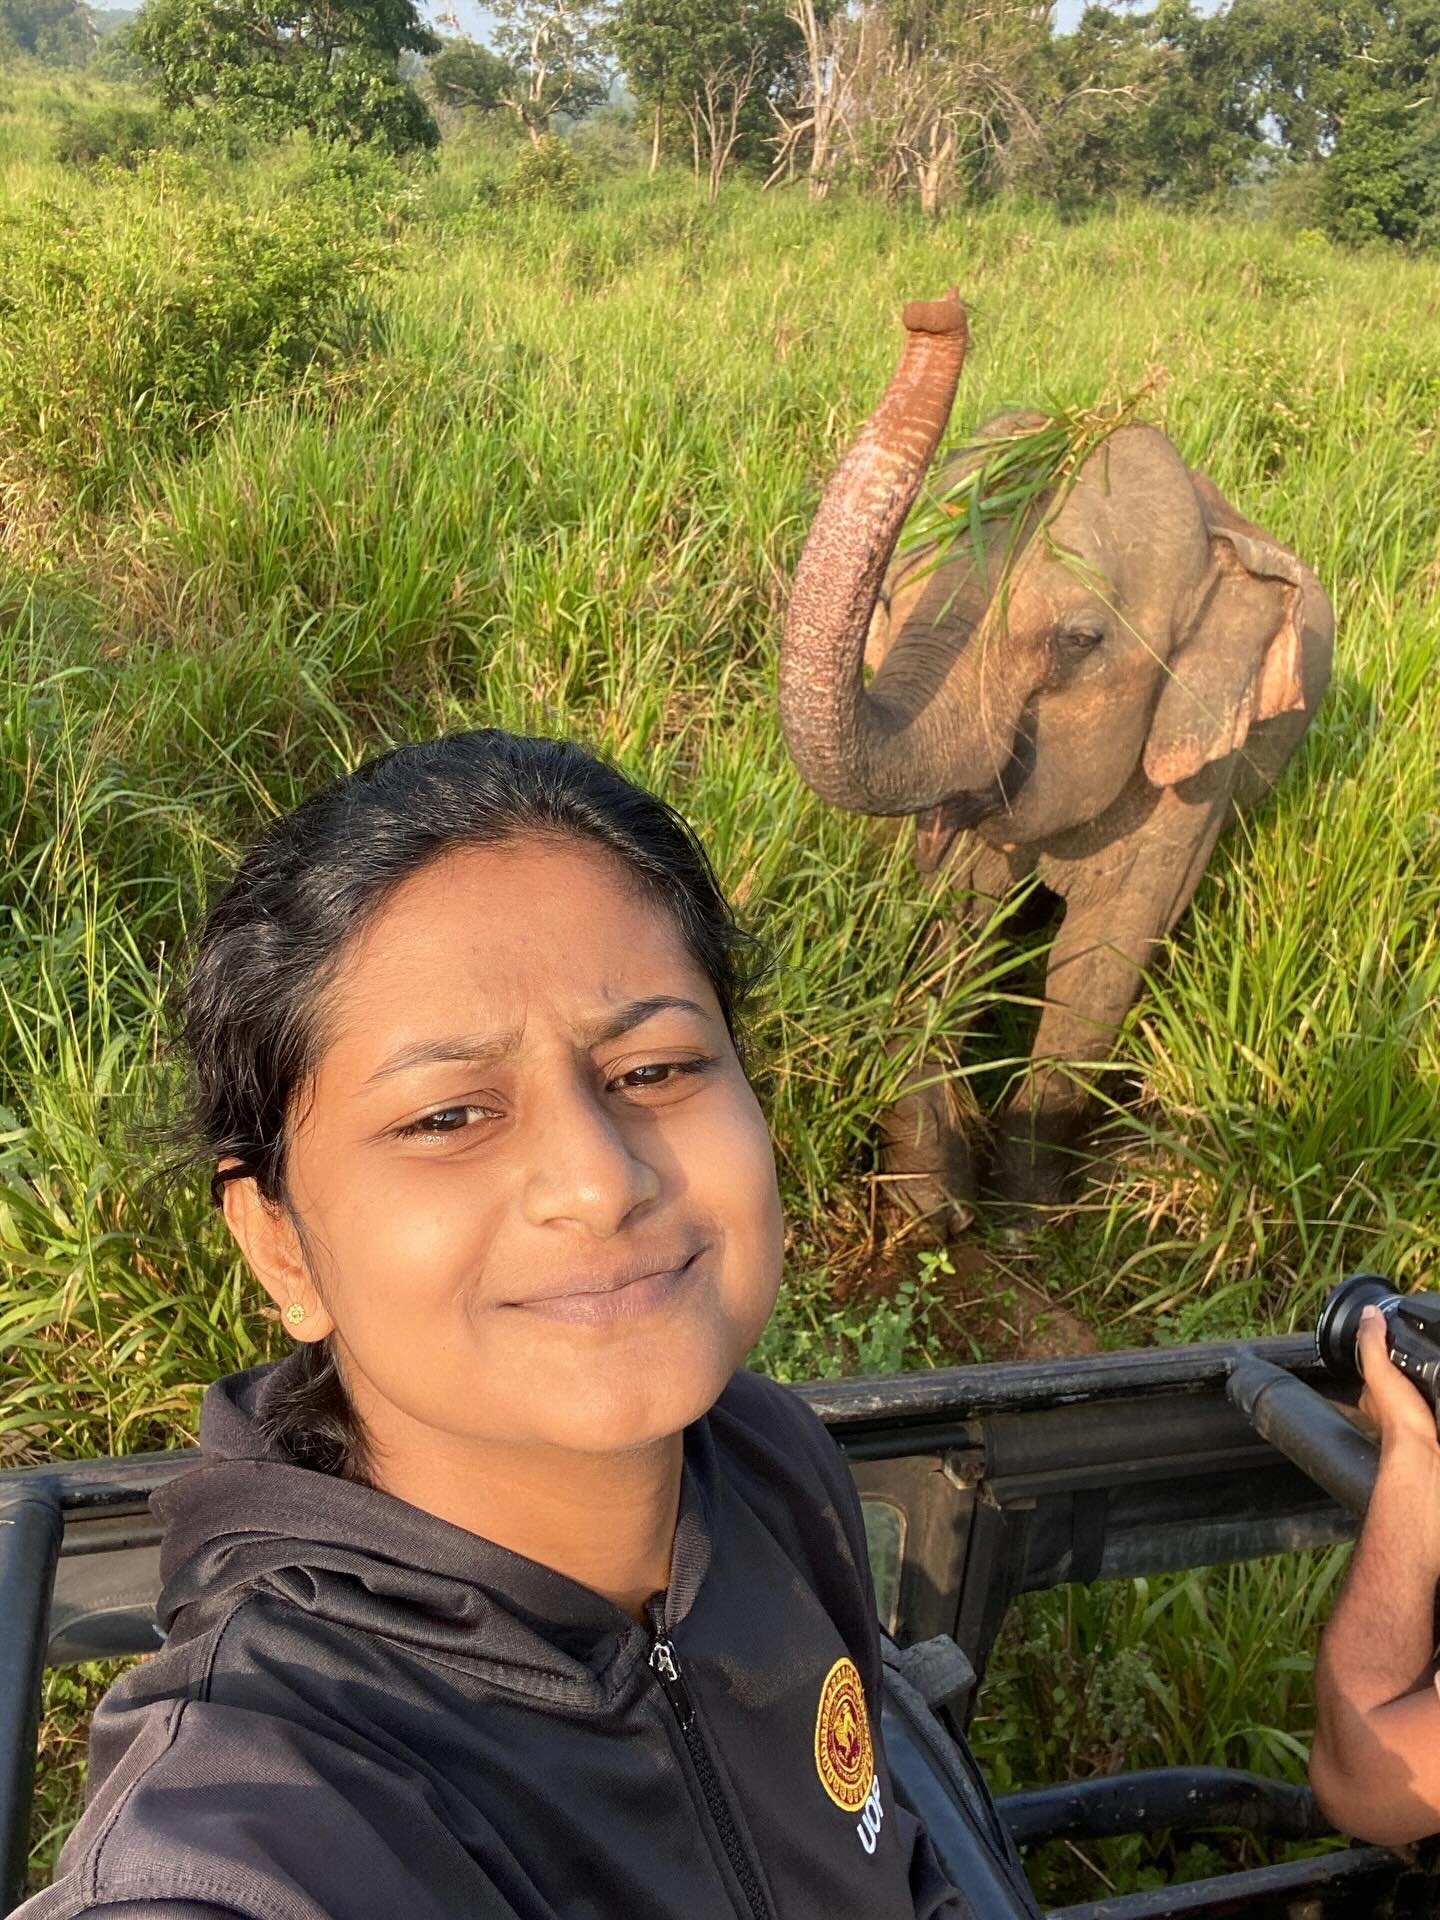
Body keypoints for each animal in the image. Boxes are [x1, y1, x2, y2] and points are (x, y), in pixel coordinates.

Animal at [778, 294, 1334, 1223]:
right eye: (889, 598)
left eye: (1078, 641)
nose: (935, 309)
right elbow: (952, 928)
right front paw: (931, 1211)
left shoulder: (1193, 779)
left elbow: (1102, 958)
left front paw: (1028, 1219)